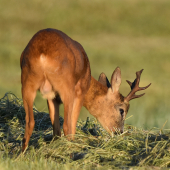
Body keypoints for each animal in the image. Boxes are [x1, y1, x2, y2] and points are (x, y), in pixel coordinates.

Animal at [20, 28, 151, 152]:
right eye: (122, 110)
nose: (118, 132)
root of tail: (43, 53)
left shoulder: (52, 98)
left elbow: (56, 130)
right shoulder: (79, 93)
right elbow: (71, 125)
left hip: (27, 84)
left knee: (30, 122)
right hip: (66, 88)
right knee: (67, 125)